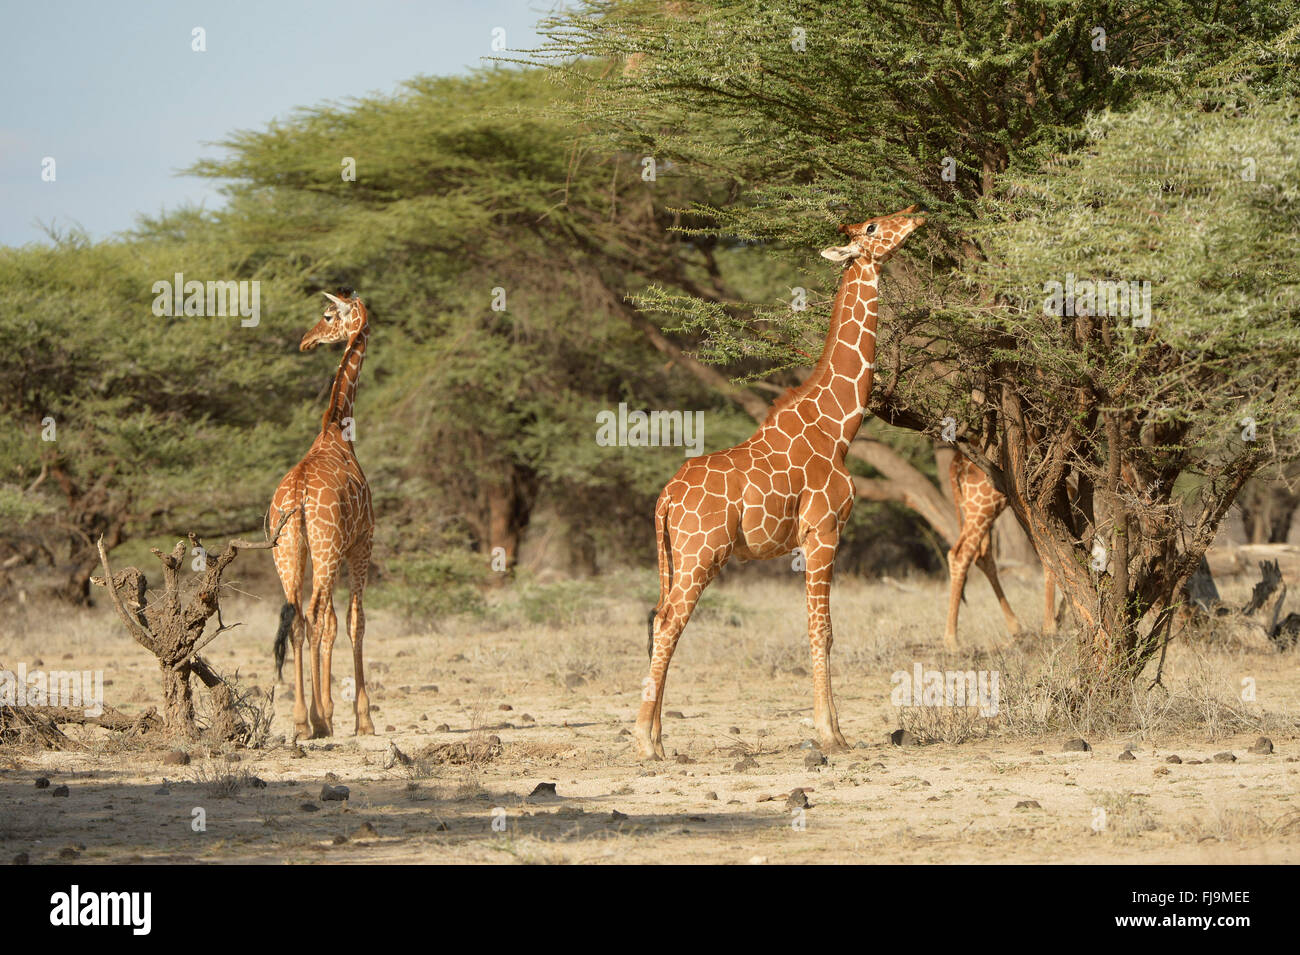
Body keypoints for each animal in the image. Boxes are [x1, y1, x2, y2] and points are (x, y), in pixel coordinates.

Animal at [637, 205, 925, 758]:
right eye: (872, 227)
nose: (915, 214)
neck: (839, 427)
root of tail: (665, 498)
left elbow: (821, 629)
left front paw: (834, 730)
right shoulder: (823, 530)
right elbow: (822, 630)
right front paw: (832, 735)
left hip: (677, 555)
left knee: (659, 617)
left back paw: (658, 737)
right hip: (701, 552)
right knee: (668, 622)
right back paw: (644, 742)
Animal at [946, 454, 1055, 649]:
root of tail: (954, 465)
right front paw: (1053, 626)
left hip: (978, 507)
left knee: (981, 556)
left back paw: (1015, 627)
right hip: (985, 504)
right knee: (961, 555)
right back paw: (952, 641)